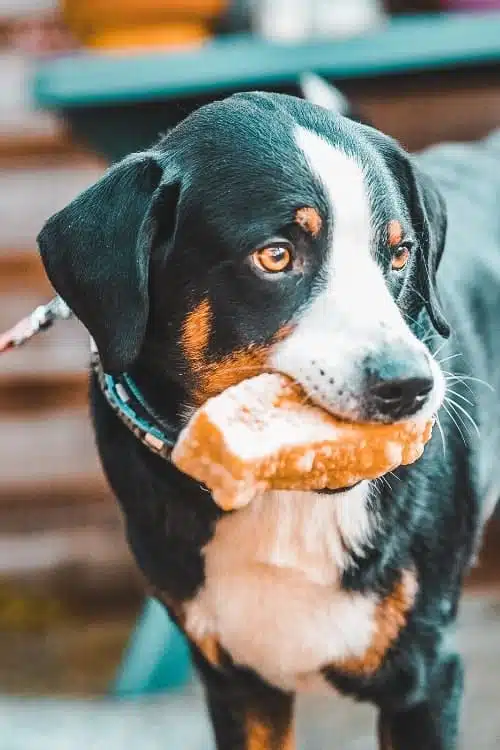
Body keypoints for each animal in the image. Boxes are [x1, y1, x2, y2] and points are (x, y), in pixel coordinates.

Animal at [35, 78, 500, 750]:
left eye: (399, 254)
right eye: (275, 256)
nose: (410, 386)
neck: (284, 495)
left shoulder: (428, 676)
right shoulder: (239, 685)